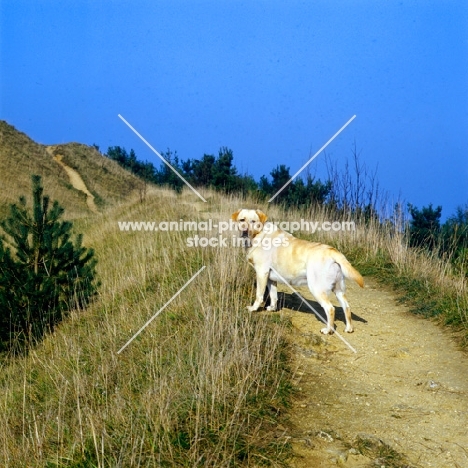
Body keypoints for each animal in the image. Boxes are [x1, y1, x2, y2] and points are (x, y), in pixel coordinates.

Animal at [232, 207, 364, 332]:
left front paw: (253, 309)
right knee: (346, 307)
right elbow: (274, 296)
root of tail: (333, 251)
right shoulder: (271, 278)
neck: (259, 235)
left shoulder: (261, 273)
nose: (245, 231)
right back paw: (349, 328)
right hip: (338, 289)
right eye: (242, 220)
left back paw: (328, 330)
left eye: (253, 221)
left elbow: (259, 295)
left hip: (317, 288)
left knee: (330, 308)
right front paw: (272, 309)